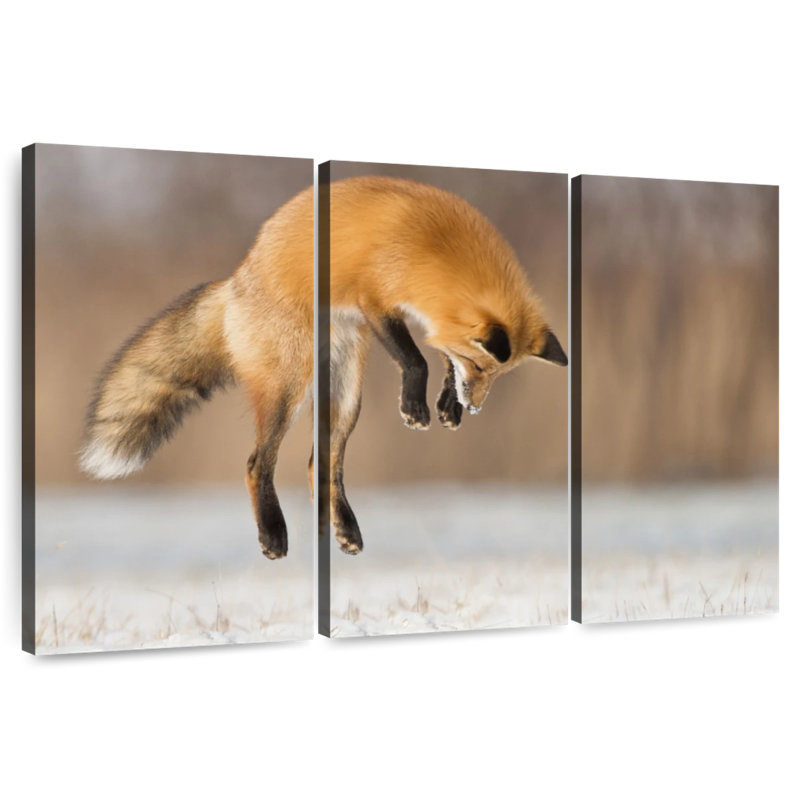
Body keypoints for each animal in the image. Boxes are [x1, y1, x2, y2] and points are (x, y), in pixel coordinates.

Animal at [80, 175, 567, 560]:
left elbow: (438, 354)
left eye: (495, 375)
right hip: (289, 386)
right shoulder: (376, 300)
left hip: (346, 395)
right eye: (480, 368)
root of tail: (236, 280)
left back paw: (345, 530)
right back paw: (273, 534)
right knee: (258, 463)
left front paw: (449, 405)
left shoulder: (422, 317)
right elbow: (416, 359)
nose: (477, 407)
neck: (437, 246)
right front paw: (417, 407)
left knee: (321, 466)